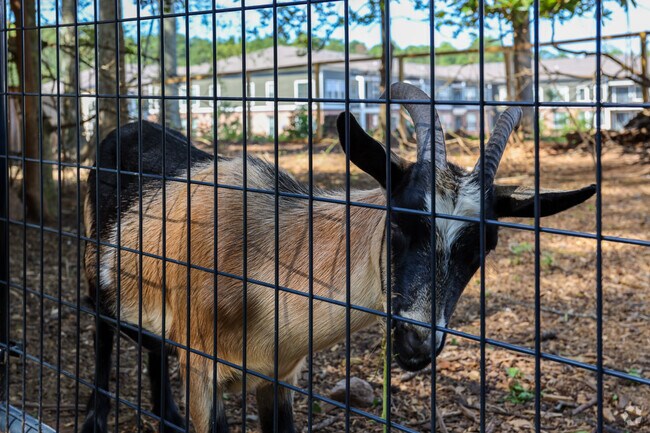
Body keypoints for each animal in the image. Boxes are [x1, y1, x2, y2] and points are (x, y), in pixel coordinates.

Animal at [82, 82, 596, 433]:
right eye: (399, 222)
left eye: (483, 247)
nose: (417, 343)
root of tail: (125, 128)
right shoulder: (201, 369)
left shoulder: (278, 376)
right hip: (95, 266)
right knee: (101, 326)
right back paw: (96, 418)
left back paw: (165, 414)